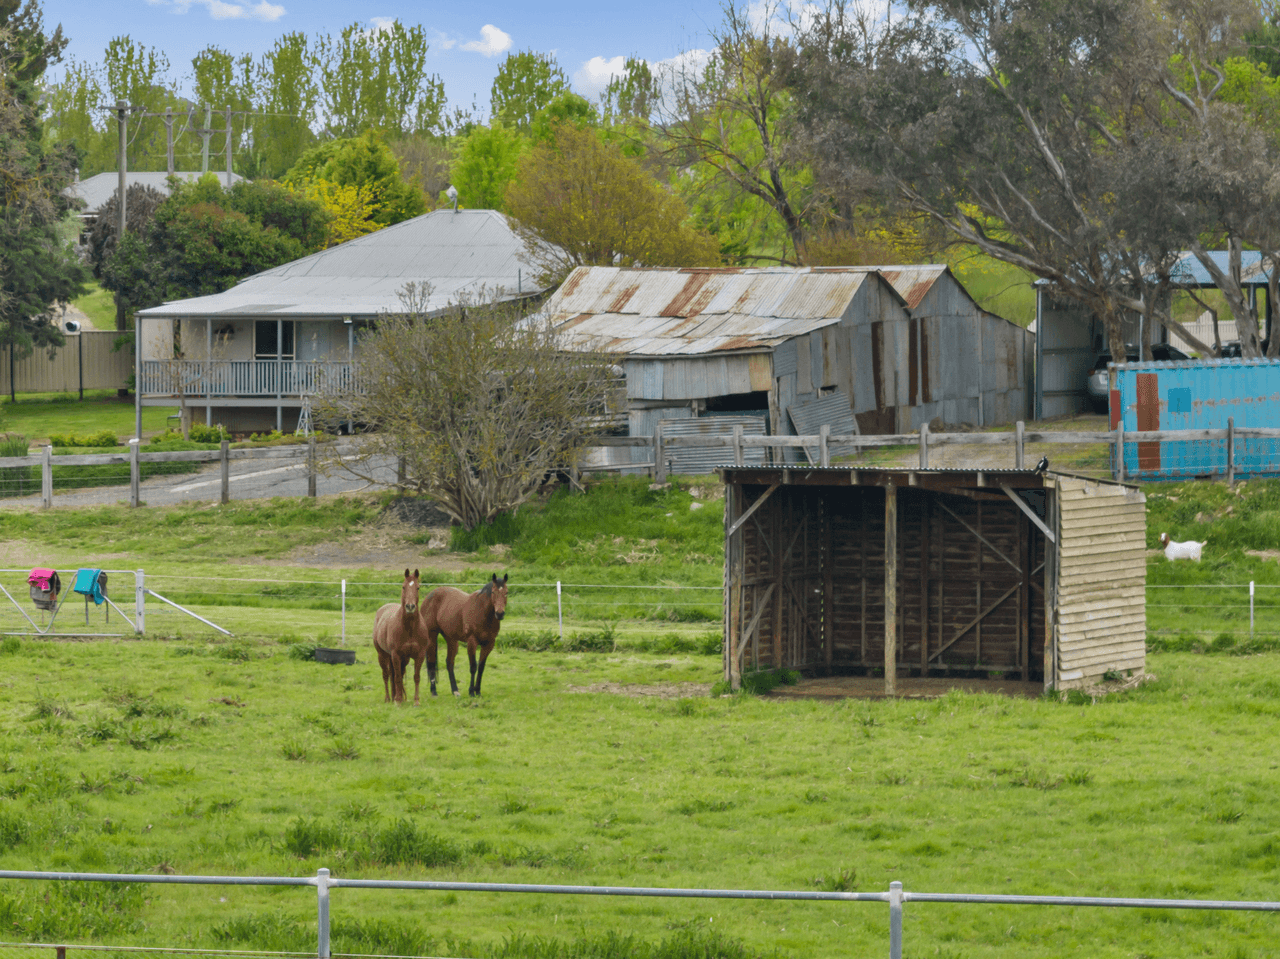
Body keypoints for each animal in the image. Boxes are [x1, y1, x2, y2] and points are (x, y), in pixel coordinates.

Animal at [373, 568, 432, 701]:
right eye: (403, 587)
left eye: (418, 587)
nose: (410, 606)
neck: (409, 628)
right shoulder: (395, 655)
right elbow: (398, 677)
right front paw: (398, 701)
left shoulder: (419, 655)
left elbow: (416, 677)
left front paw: (416, 701)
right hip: (382, 655)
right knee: (386, 675)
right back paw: (388, 698)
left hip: (403, 658)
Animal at [427, 568, 512, 696]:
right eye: (493, 592)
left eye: (506, 592)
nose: (500, 614)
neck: (482, 612)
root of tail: (430, 595)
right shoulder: (472, 642)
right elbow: (473, 667)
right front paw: (471, 691)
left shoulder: (489, 644)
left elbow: (481, 667)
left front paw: (478, 691)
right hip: (432, 636)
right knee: (431, 662)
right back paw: (433, 691)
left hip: (451, 639)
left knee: (449, 662)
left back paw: (455, 691)